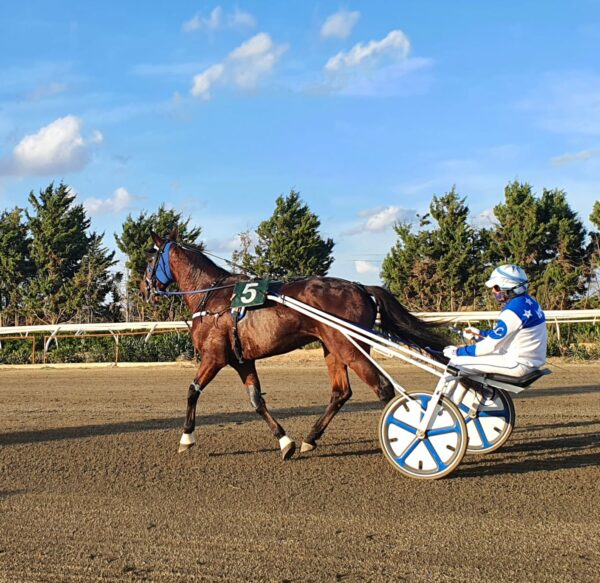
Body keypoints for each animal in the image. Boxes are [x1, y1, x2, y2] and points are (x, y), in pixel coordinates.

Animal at [143, 228, 448, 460]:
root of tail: (360, 287)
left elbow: (192, 391)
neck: (213, 296)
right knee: (341, 392)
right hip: (332, 348)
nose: (145, 288)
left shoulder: (214, 357)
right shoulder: (242, 360)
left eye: (149, 259)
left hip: (350, 347)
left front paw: (186, 438)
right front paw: (285, 442)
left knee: (383, 389)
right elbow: (256, 401)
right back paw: (310, 438)